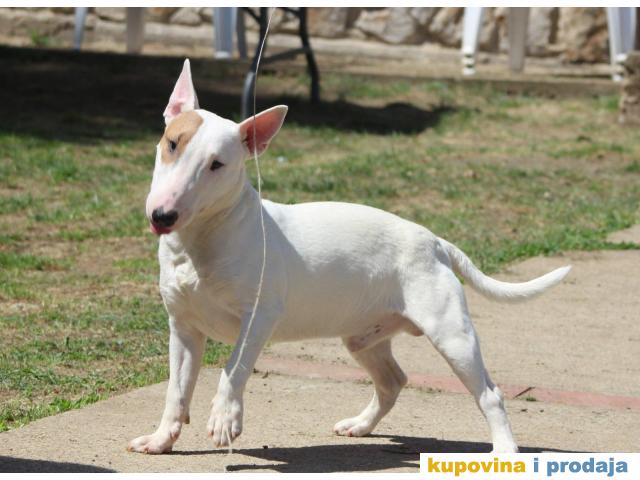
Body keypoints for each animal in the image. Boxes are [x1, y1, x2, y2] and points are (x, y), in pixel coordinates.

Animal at [128, 59, 571, 454]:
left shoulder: (259, 316)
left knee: (490, 392)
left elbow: (233, 367)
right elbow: (176, 390)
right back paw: (360, 425)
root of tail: (433, 240)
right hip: (363, 336)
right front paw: (160, 439)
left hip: (451, 333)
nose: (162, 216)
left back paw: (505, 450)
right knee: (392, 380)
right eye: (172, 143)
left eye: (217, 164)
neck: (204, 238)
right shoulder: (183, 328)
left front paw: (224, 419)